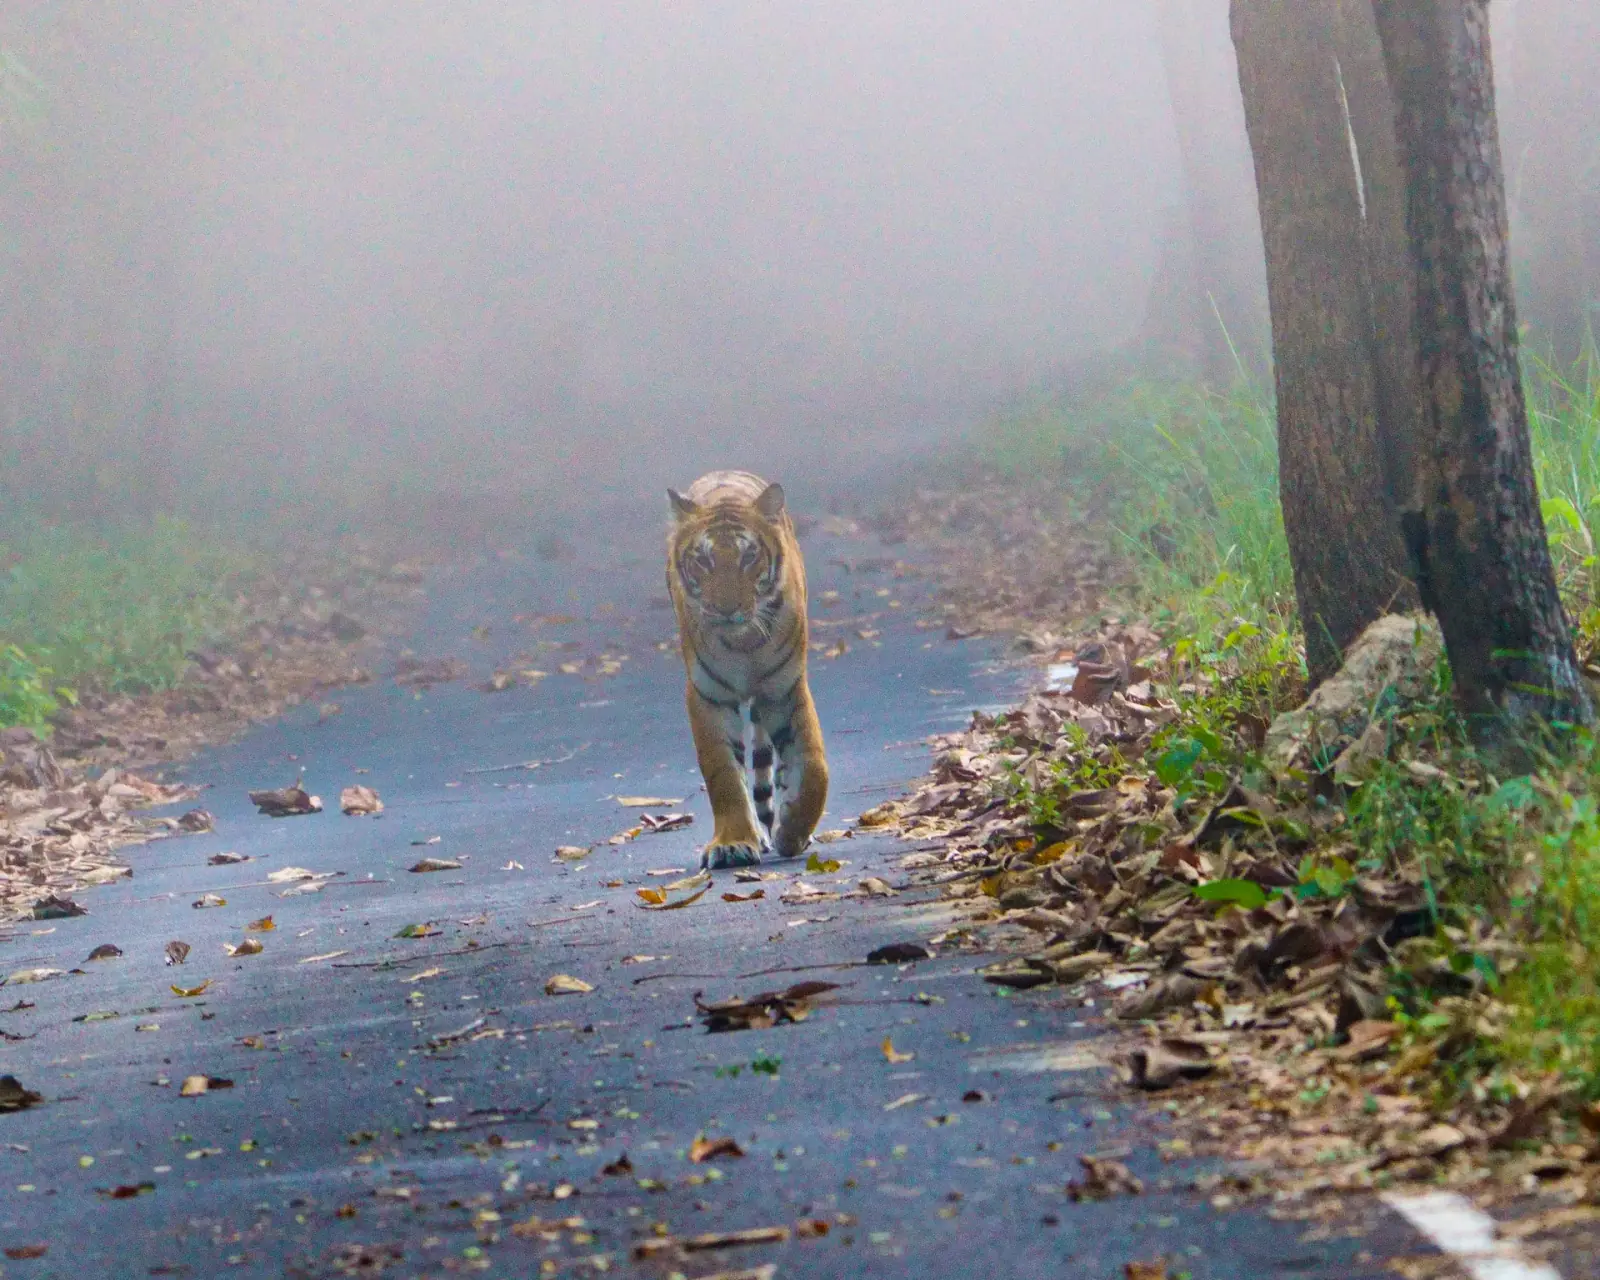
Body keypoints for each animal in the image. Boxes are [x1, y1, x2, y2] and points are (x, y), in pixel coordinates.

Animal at [666, 470, 828, 869]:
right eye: (703, 561)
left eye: (749, 557)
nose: (726, 609)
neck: (743, 644)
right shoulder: (706, 695)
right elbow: (723, 775)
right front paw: (733, 843)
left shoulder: (787, 690)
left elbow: (814, 766)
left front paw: (793, 831)